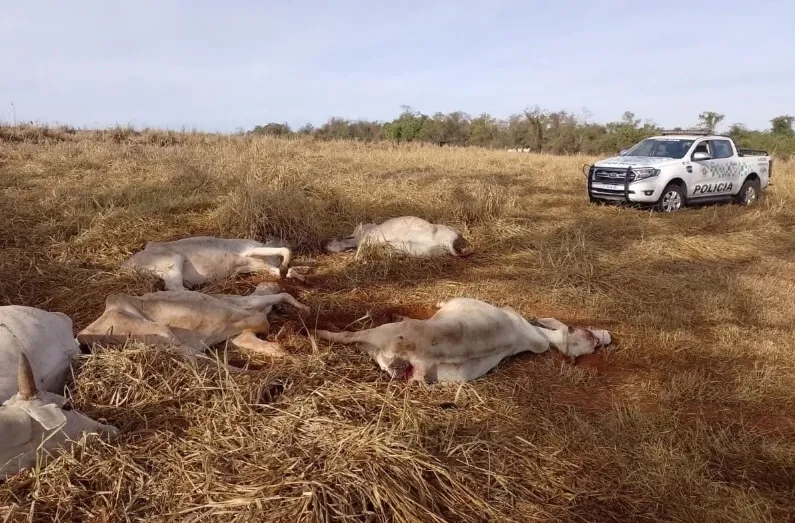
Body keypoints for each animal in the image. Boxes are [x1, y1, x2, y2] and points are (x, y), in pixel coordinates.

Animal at [77, 282, 312, 364]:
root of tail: (82, 335)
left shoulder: (241, 332)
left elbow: (270, 346)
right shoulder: (242, 307)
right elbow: (281, 295)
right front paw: (304, 309)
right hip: (157, 330)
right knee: (200, 360)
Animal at [119, 236, 310, 292]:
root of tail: (126, 263)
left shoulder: (262, 266)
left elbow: (285, 270)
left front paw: (299, 275)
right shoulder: (251, 250)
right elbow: (286, 250)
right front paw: (287, 268)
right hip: (174, 259)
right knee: (175, 288)